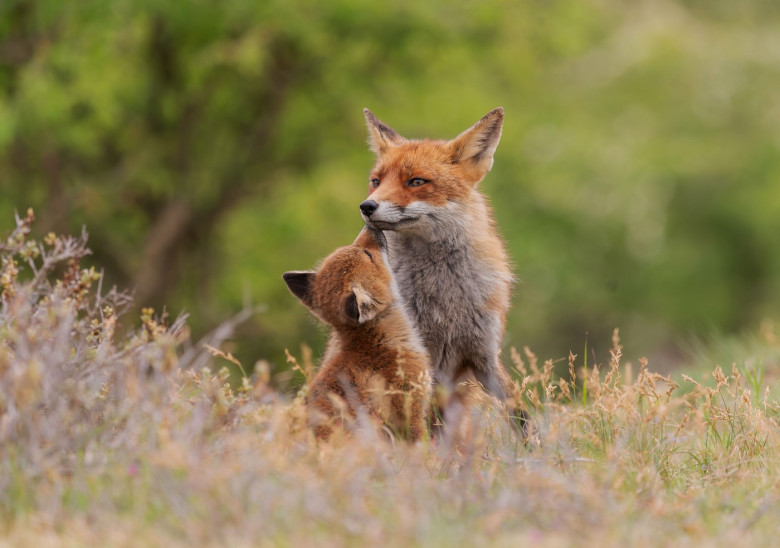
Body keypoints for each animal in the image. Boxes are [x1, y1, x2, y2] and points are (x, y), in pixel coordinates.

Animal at [362, 106, 520, 424]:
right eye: (376, 181)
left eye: (416, 182)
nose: (367, 206)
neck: (445, 303)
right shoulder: (415, 356)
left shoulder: (484, 354)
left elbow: (521, 414)